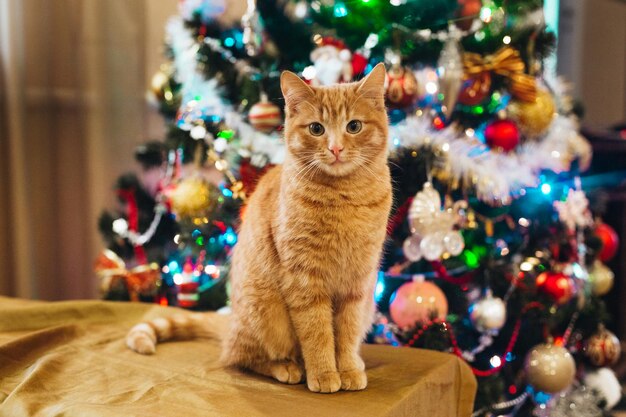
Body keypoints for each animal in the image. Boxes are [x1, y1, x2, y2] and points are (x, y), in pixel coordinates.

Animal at [126, 63, 390, 392]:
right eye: (316, 129)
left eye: (353, 126)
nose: (336, 149)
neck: (344, 196)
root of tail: (231, 320)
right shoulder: (305, 280)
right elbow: (317, 332)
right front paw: (325, 373)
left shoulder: (358, 283)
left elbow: (348, 333)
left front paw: (349, 368)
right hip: (266, 313)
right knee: (241, 357)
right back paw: (287, 367)